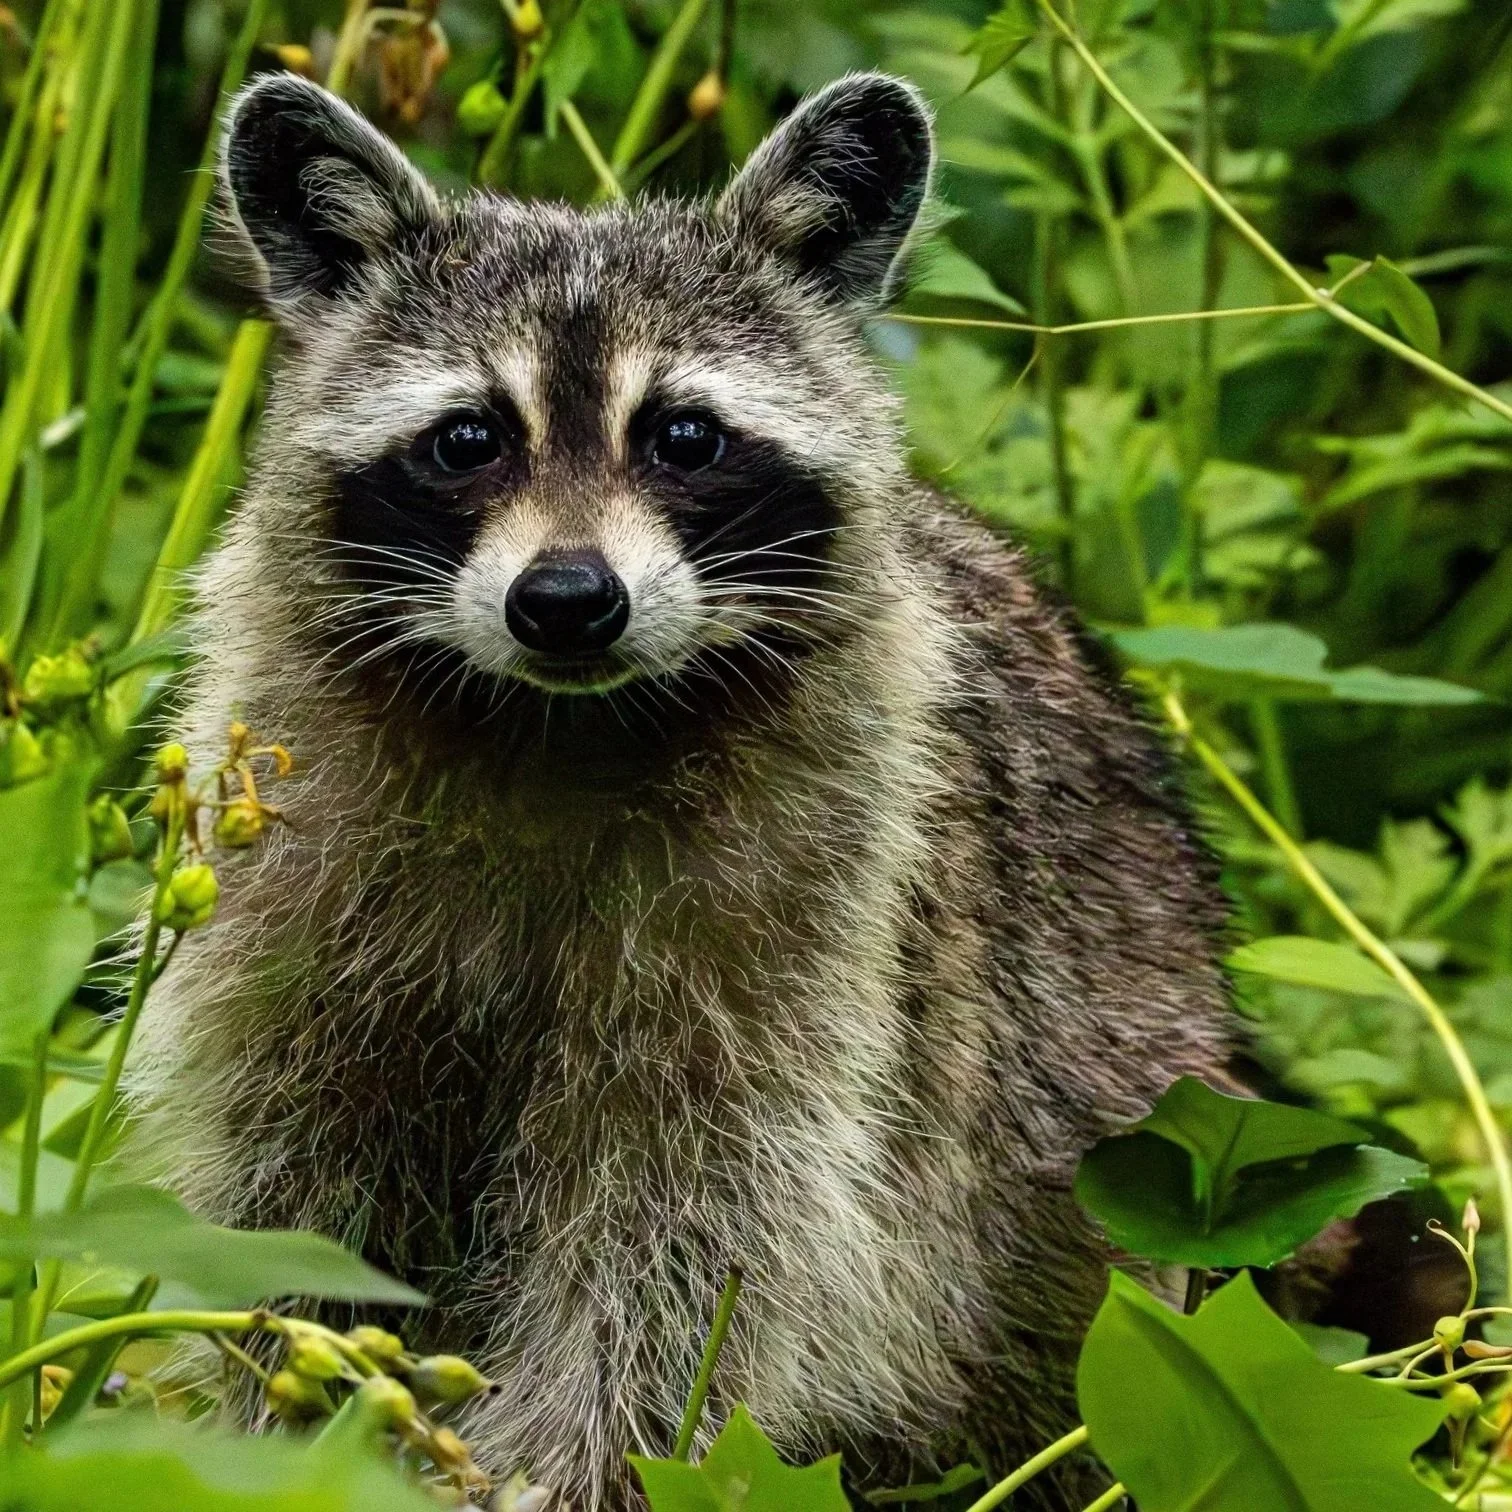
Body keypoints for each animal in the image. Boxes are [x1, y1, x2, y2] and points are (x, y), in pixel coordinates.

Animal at [126, 69, 1235, 1509]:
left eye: (686, 436)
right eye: (467, 439)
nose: (566, 599)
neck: (557, 724)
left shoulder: (811, 914)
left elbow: (692, 1234)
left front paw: (571, 1466)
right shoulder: (293, 862)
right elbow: (296, 1188)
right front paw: (291, 1421)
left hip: (1109, 1120)